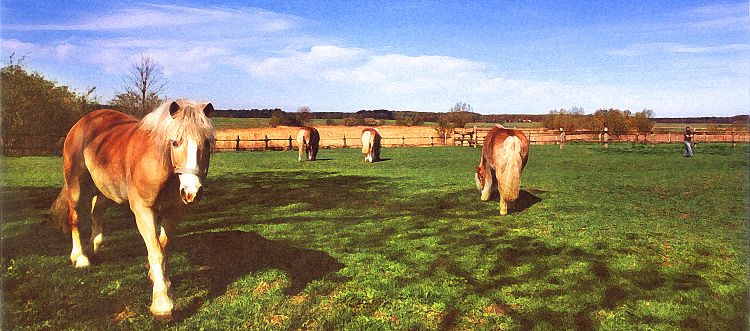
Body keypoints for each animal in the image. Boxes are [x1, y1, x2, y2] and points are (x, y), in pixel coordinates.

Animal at [50, 99, 214, 320]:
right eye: (175, 142)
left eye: (206, 143)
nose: (192, 192)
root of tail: (83, 121)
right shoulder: (143, 211)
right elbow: (156, 252)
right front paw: (162, 304)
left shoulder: (174, 212)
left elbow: (162, 247)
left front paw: (158, 278)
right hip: (76, 185)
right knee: (75, 216)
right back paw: (80, 257)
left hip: (105, 189)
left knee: (96, 212)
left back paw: (93, 248)